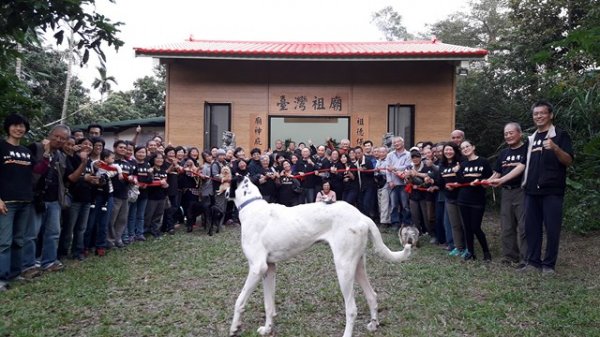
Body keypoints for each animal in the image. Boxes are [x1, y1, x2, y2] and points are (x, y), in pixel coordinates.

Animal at [227, 176, 410, 336]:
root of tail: (361, 216)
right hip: (357, 266)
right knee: (372, 296)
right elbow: (268, 305)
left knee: (351, 309)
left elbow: (239, 301)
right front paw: (267, 330)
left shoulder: (257, 268)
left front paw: (235, 327)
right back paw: (373, 325)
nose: (222, 191)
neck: (252, 207)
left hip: (343, 269)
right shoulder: (268, 269)